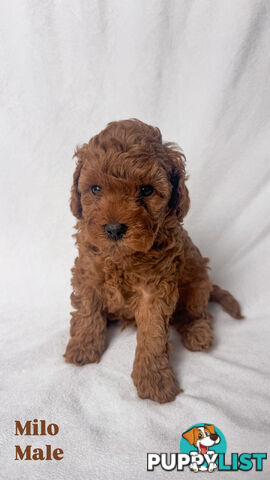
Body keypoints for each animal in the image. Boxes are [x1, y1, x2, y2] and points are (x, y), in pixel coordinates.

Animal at [65, 118, 243, 404]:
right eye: (95, 189)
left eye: (146, 190)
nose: (114, 229)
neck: (121, 258)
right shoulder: (88, 273)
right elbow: (87, 312)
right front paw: (83, 346)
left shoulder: (155, 290)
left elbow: (153, 335)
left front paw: (154, 380)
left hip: (198, 284)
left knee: (196, 313)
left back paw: (198, 333)